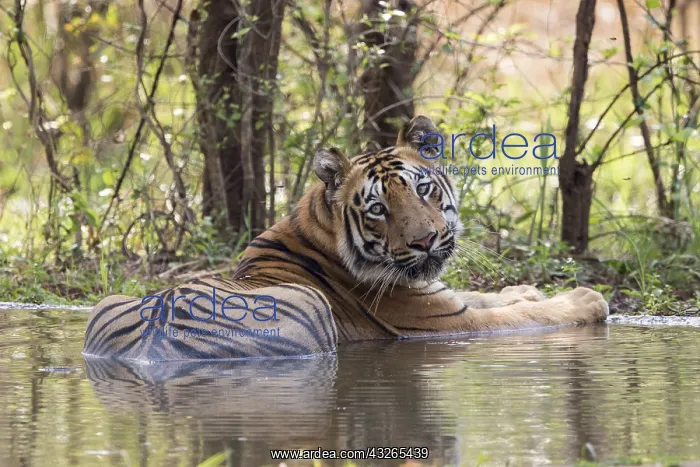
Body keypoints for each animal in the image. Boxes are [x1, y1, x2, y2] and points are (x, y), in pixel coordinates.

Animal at [83, 115, 608, 361]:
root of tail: (150, 343)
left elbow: (489, 295)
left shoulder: (442, 294)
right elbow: (521, 316)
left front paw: (527, 288)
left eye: (423, 190)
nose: (425, 241)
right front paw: (585, 298)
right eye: (378, 209)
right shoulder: (446, 324)